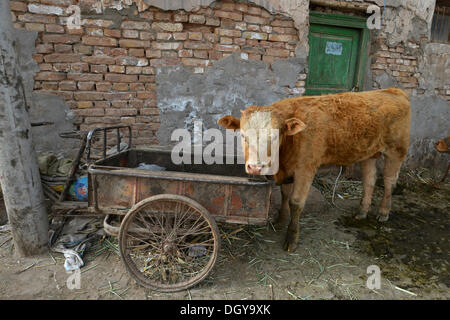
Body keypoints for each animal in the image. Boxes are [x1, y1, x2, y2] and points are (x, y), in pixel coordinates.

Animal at [218, 87, 412, 252]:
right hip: (369, 155)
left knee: (389, 182)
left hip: (396, 151)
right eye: (243, 135)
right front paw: (281, 220)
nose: (256, 167)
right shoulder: (288, 169)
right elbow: (285, 195)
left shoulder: (306, 168)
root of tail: (394, 91)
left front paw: (291, 238)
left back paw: (383, 212)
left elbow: (295, 202)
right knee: (369, 181)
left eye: (274, 136)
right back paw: (362, 212)